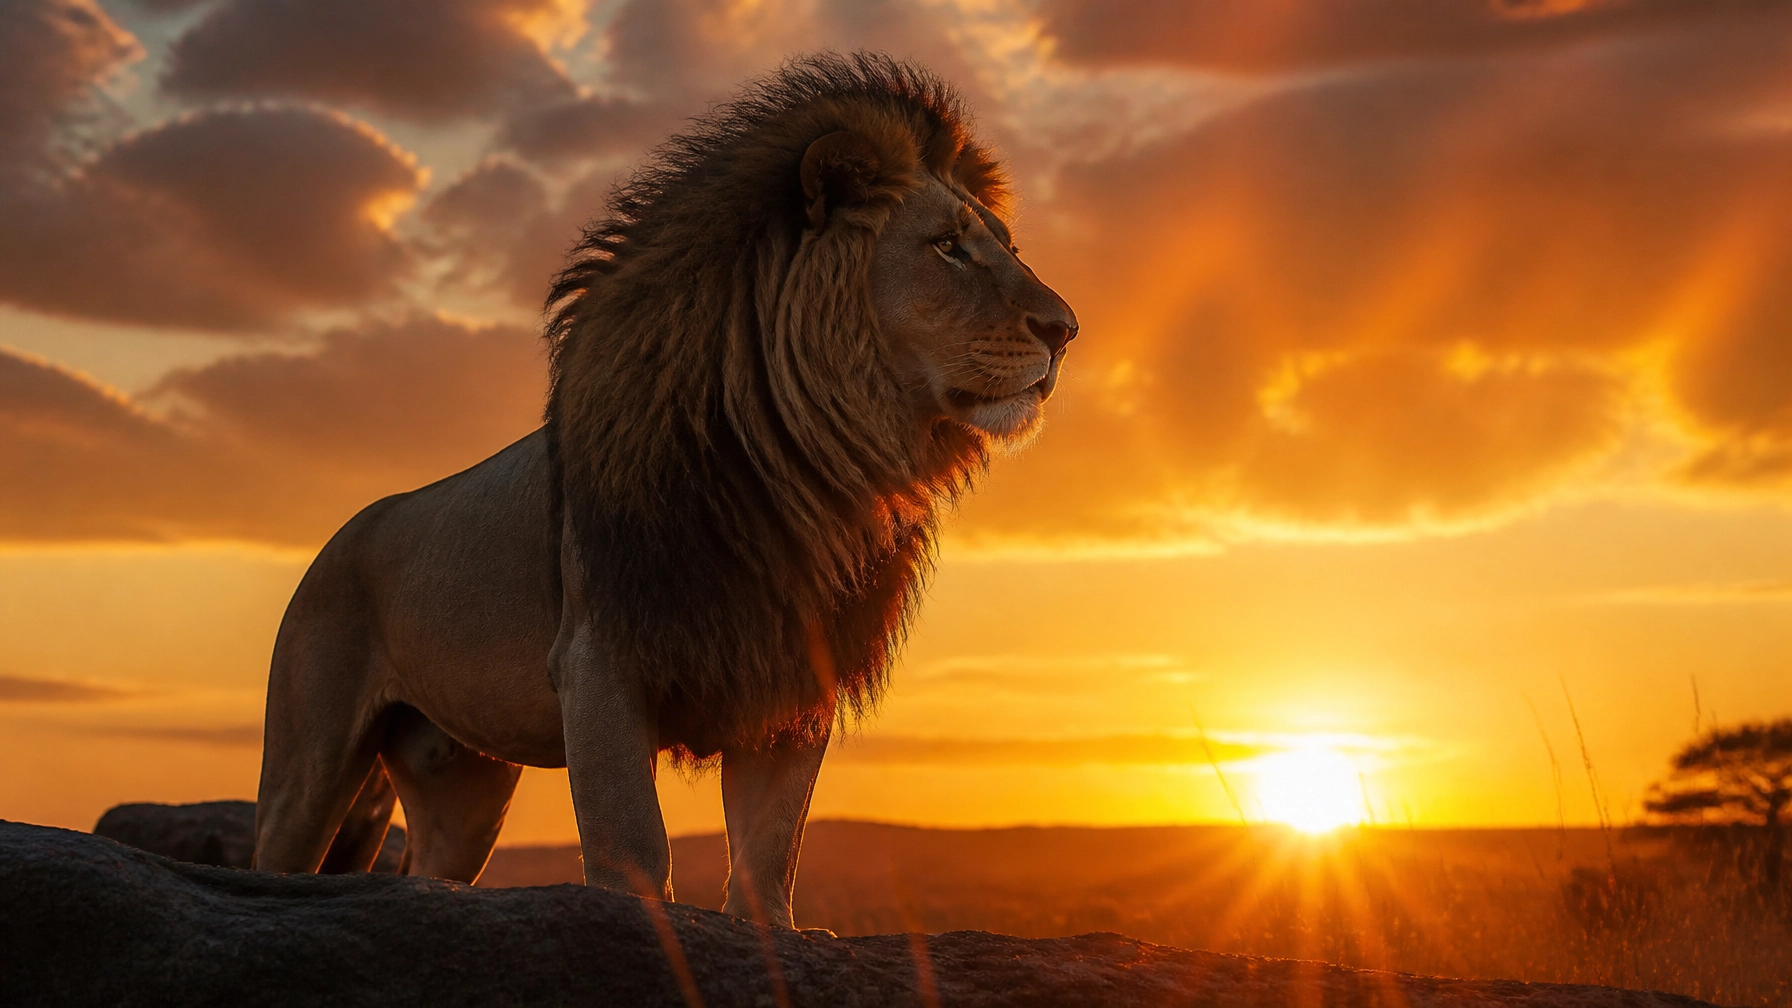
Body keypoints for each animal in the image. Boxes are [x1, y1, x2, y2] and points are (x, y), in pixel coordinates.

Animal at [252, 52, 1078, 928]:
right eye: (948, 247)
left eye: (1008, 247)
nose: (1066, 329)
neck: (806, 474)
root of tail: (346, 533)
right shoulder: (599, 660)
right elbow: (633, 844)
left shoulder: (789, 677)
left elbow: (770, 849)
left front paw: (772, 930)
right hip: (310, 760)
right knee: (279, 851)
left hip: (462, 785)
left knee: (430, 868)